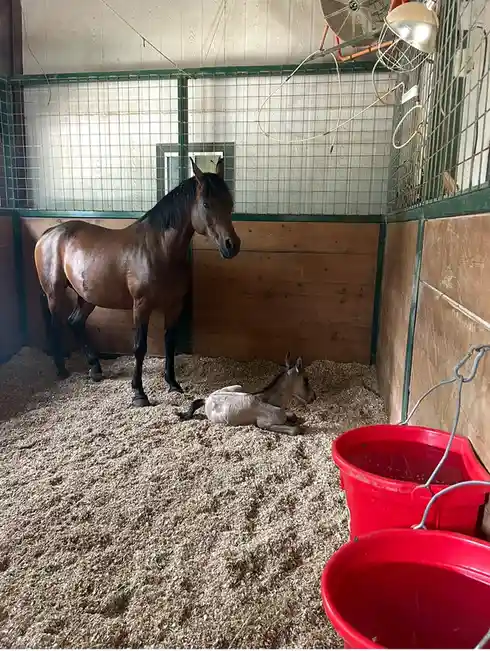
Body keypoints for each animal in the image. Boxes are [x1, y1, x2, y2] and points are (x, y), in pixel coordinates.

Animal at [34, 157, 241, 407]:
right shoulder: (141, 306)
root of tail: (50, 233)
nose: (232, 245)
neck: (159, 250)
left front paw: (173, 384)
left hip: (87, 296)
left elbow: (170, 342)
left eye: (229, 203)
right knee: (56, 325)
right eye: (207, 204)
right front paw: (139, 393)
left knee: (75, 322)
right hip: (54, 293)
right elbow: (139, 347)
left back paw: (95, 369)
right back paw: (62, 370)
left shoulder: (174, 305)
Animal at [177, 353, 316, 435]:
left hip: (238, 387)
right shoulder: (264, 424)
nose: (313, 397)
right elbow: (295, 429)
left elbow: (293, 416)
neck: (271, 402)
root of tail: (207, 399)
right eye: (306, 380)